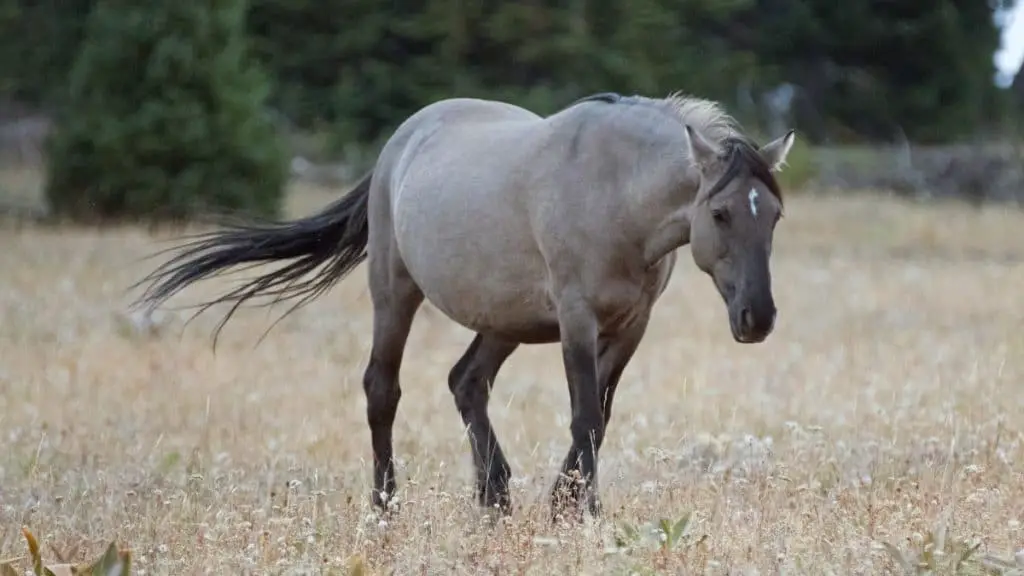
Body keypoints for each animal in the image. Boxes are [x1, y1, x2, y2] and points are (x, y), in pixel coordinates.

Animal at [130, 90, 798, 520]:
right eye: (720, 213)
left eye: (775, 215)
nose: (758, 318)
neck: (613, 192)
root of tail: (400, 141)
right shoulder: (577, 320)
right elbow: (584, 415)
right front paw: (584, 512)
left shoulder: (631, 326)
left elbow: (600, 418)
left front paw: (561, 505)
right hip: (395, 291)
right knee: (382, 389)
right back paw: (386, 506)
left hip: (504, 318)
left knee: (466, 382)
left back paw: (494, 498)